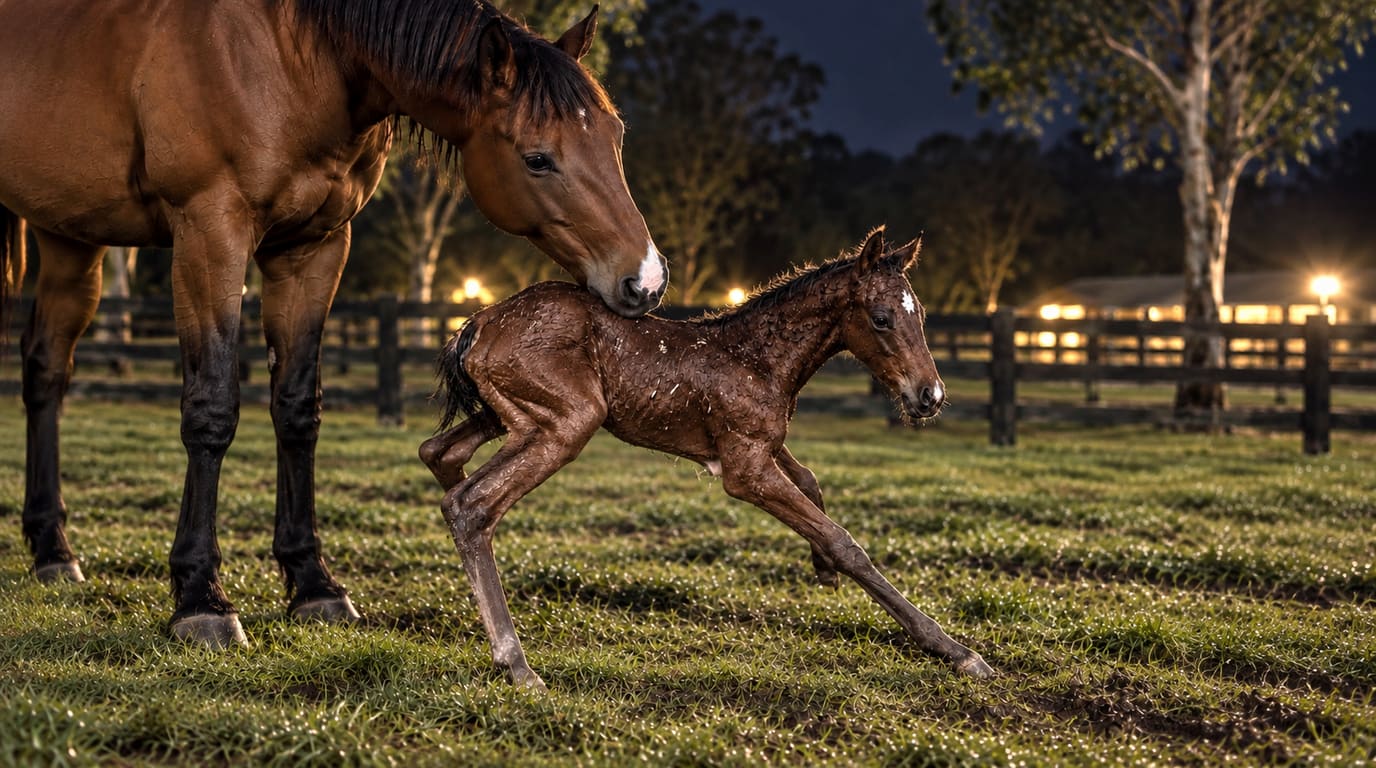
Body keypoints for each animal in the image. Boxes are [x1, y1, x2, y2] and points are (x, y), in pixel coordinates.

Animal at [0, 0, 668, 649]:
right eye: (537, 158)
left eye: (615, 136)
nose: (645, 280)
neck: (291, 57)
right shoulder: (209, 234)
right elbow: (211, 408)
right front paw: (201, 598)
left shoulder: (314, 249)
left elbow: (297, 409)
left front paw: (312, 584)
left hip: (70, 236)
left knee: (45, 371)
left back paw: (52, 550)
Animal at [420, 229, 994, 690]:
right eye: (880, 318)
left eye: (919, 315)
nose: (930, 396)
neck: (759, 359)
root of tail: (477, 324)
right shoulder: (744, 469)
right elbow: (842, 539)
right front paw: (957, 652)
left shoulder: (760, 446)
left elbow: (812, 483)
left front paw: (823, 571)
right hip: (568, 421)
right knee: (471, 505)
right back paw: (516, 664)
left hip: (510, 419)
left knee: (439, 453)